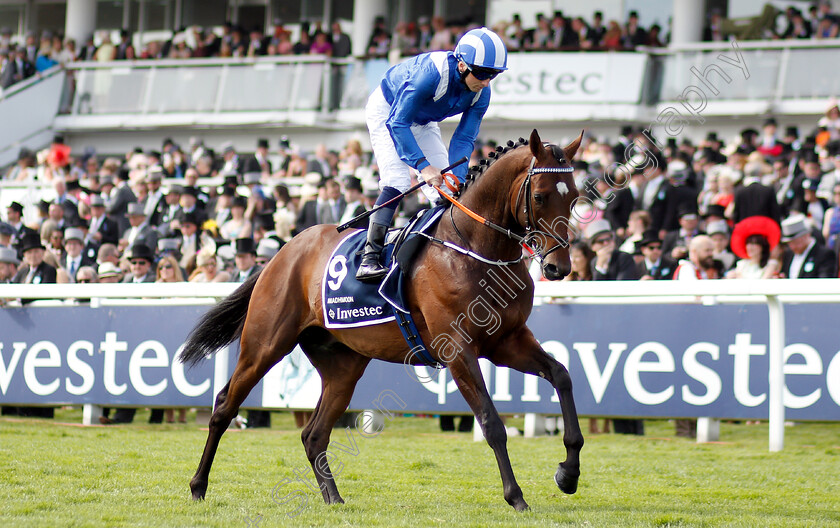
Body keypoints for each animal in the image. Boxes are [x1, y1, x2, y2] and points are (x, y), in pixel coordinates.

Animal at [179, 128, 584, 512]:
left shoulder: (507, 340)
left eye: (575, 197)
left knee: (313, 434)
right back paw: (198, 486)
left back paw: (333, 498)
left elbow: (562, 375)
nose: (558, 267)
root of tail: (282, 252)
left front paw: (568, 473)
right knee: (224, 406)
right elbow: (491, 422)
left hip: (342, 366)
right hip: (264, 344)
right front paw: (516, 496)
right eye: (540, 196)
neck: (474, 247)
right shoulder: (457, 349)